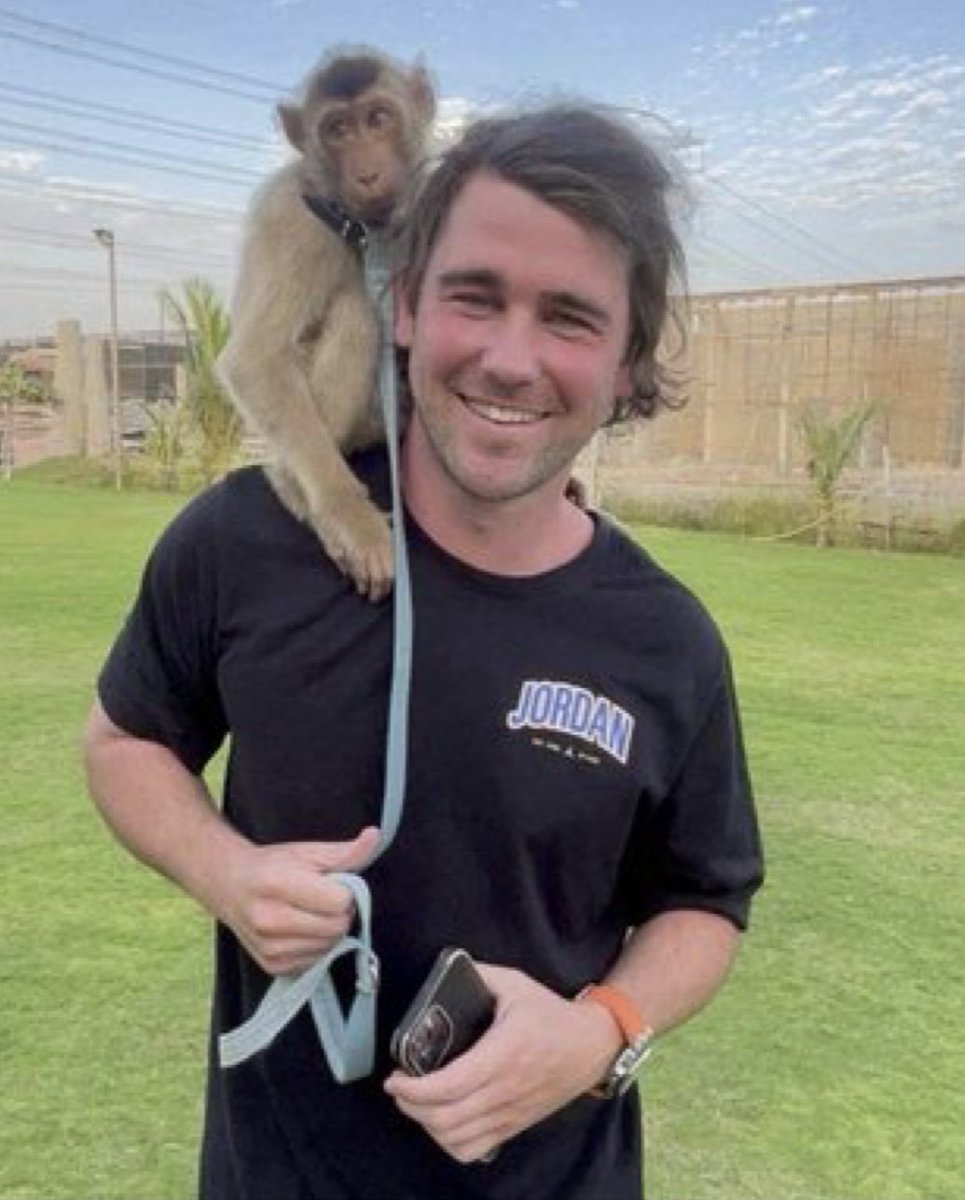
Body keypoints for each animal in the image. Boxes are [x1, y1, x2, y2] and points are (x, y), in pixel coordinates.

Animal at [217, 48, 435, 601]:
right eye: (337, 130)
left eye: (377, 119)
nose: (367, 172)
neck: (364, 230)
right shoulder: (291, 220)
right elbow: (255, 358)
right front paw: (346, 515)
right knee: (359, 312)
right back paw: (291, 484)